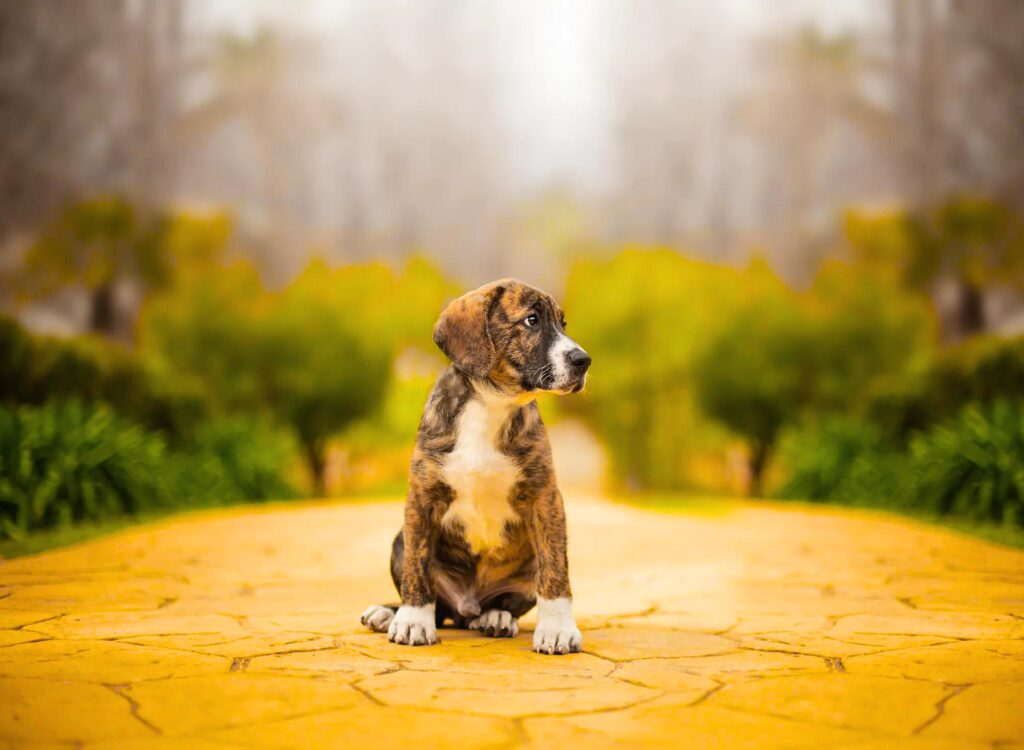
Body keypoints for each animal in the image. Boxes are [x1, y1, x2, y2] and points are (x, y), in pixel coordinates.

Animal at [360, 278, 593, 651]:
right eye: (531, 321)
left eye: (563, 323)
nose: (583, 360)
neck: (492, 404)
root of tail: (466, 608)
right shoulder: (422, 496)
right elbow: (417, 567)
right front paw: (412, 620)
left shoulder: (545, 498)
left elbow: (555, 568)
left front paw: (557, 627)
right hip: (399, 541)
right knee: (435, 601)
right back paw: (388, 613)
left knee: (506, 601)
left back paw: (495, 618)